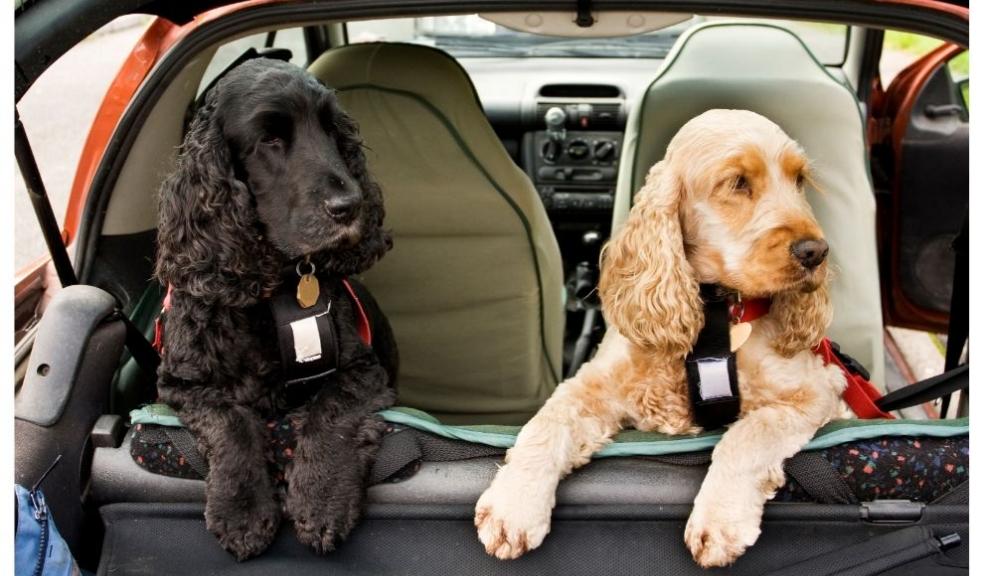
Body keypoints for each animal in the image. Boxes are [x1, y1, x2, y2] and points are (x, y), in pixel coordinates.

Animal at [154, 57, 396, 560]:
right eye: (269, 139)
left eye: (332, 130)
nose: (350, 205)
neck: (273, 286)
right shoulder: (183, 383)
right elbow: (230, 421)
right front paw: (242, 511)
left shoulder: (363, 370)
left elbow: (330, 410)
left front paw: (321, 498)